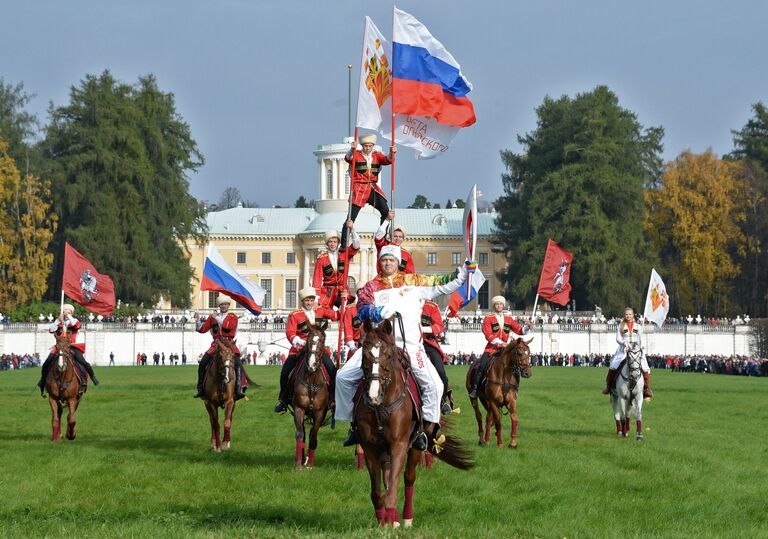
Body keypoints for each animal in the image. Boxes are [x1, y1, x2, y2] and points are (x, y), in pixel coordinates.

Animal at [290, 322, 332, 470]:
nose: (312, 364)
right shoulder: (299, 408)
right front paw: (298, 464)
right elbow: (299, 434)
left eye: (322, 340)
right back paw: (303, 458)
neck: (312, 379)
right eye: (307, 340)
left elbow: (313, 436)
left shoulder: (320, 412)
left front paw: (310, 464)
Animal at [356, 320, 474, 528]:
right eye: (364, 355)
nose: (373, 395)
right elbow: (378, 493)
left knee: (408, 478)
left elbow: (393, 491)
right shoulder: (370, 447)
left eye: (388, 355)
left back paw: (406, 518)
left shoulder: (399, 445)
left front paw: (393, 522)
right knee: (388, 479)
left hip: (416, 444)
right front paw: (383, 524)